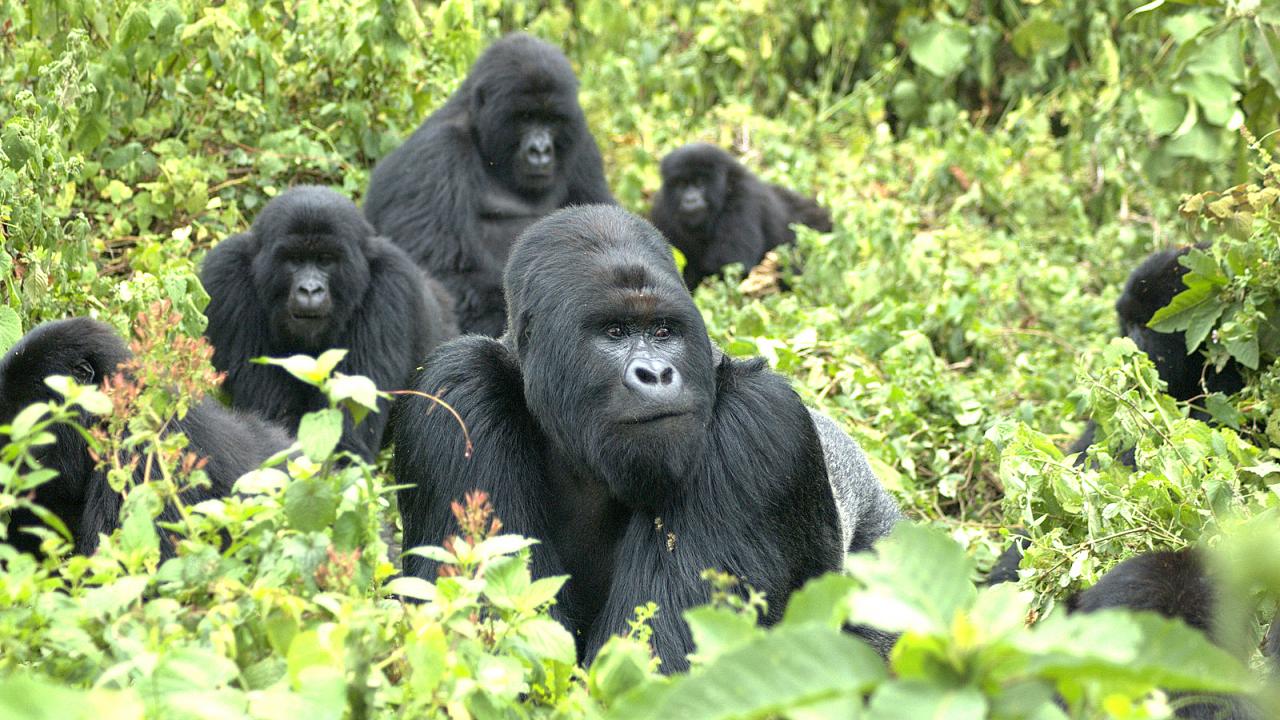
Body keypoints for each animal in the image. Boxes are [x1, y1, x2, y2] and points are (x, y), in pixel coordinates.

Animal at [202, 184, 458, 458]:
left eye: (325, 259)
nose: (310, 290)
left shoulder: (391, 286)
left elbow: (346, 439)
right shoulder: (226, 276)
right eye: (294, 259)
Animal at [363, 32, 616, 335]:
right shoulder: (435, 154)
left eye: (552, 120)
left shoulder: (583, 145)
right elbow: (447, 274)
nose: (541, 151)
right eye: (525, 118)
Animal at [394, 204, 906, 671]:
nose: (656, 373)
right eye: (614, 331)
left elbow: (659, 661)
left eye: (663, 331)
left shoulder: (760, 425)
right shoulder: (455, 390)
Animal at [650, 142, 829, 288]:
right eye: (681, 184)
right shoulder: (661, 210)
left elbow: (730, 265)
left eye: (700, 183)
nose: (690, 200)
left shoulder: (744, 198)